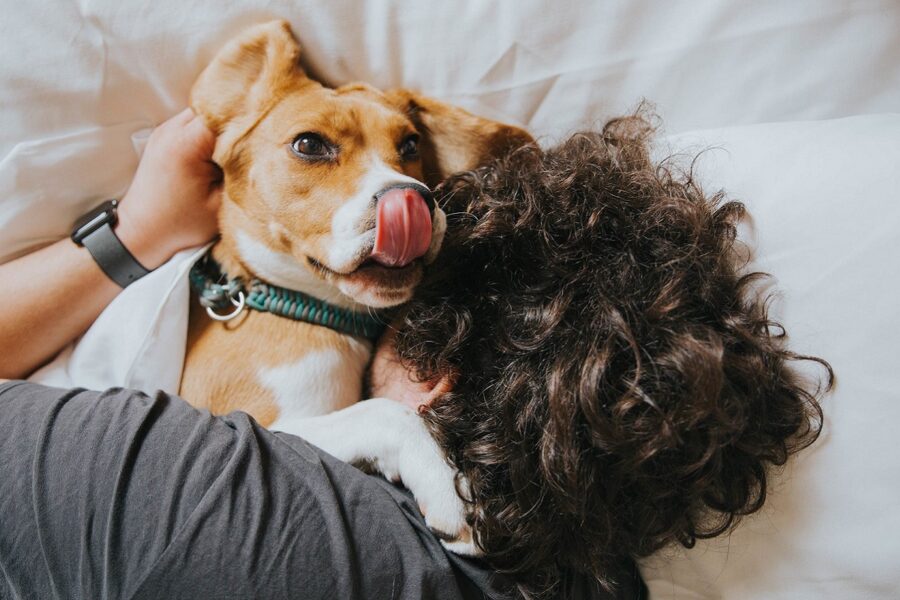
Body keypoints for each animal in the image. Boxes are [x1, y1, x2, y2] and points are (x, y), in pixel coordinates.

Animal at [182, 21, 532, 552]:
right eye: (309, 144)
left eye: (410, 145)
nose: (414, 201)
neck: (299, 306)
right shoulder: (257, 423)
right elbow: (383, 411)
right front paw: (449, 487)